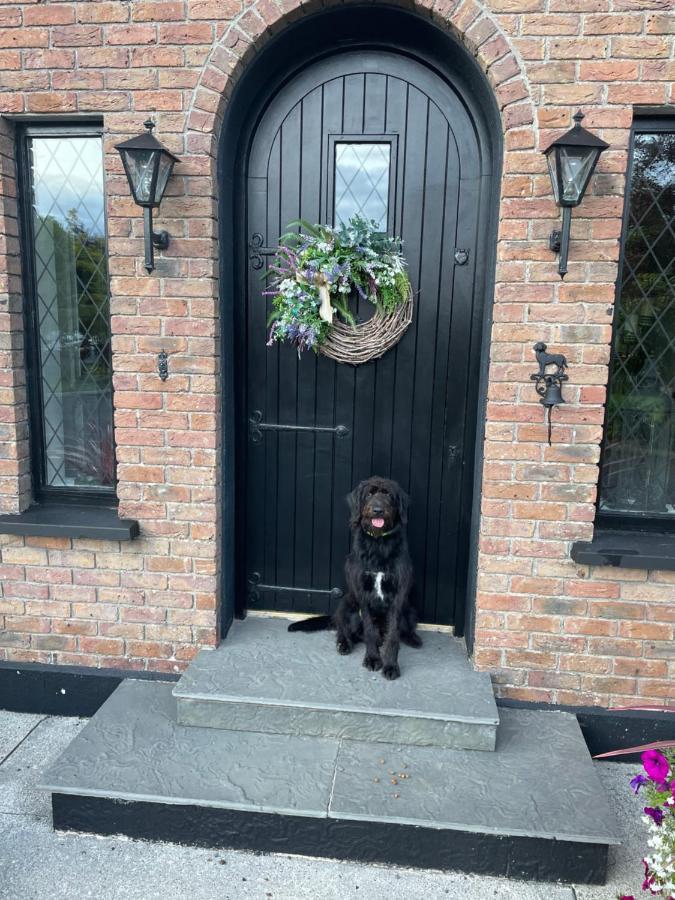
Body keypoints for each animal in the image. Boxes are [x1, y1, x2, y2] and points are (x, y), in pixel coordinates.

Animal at [290, 478, 422, 676]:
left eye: (388, 495)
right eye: (369, 494)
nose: (377, 510)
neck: (378, 543)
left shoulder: (398, 595)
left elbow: (393, 635)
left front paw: (391, 665)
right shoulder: (362, 594)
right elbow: (369, 630)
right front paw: (373, 658)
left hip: (410, 610)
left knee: (403, 629)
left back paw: (413, 638)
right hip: (346, 606)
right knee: (344, 629)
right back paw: (343, 643)